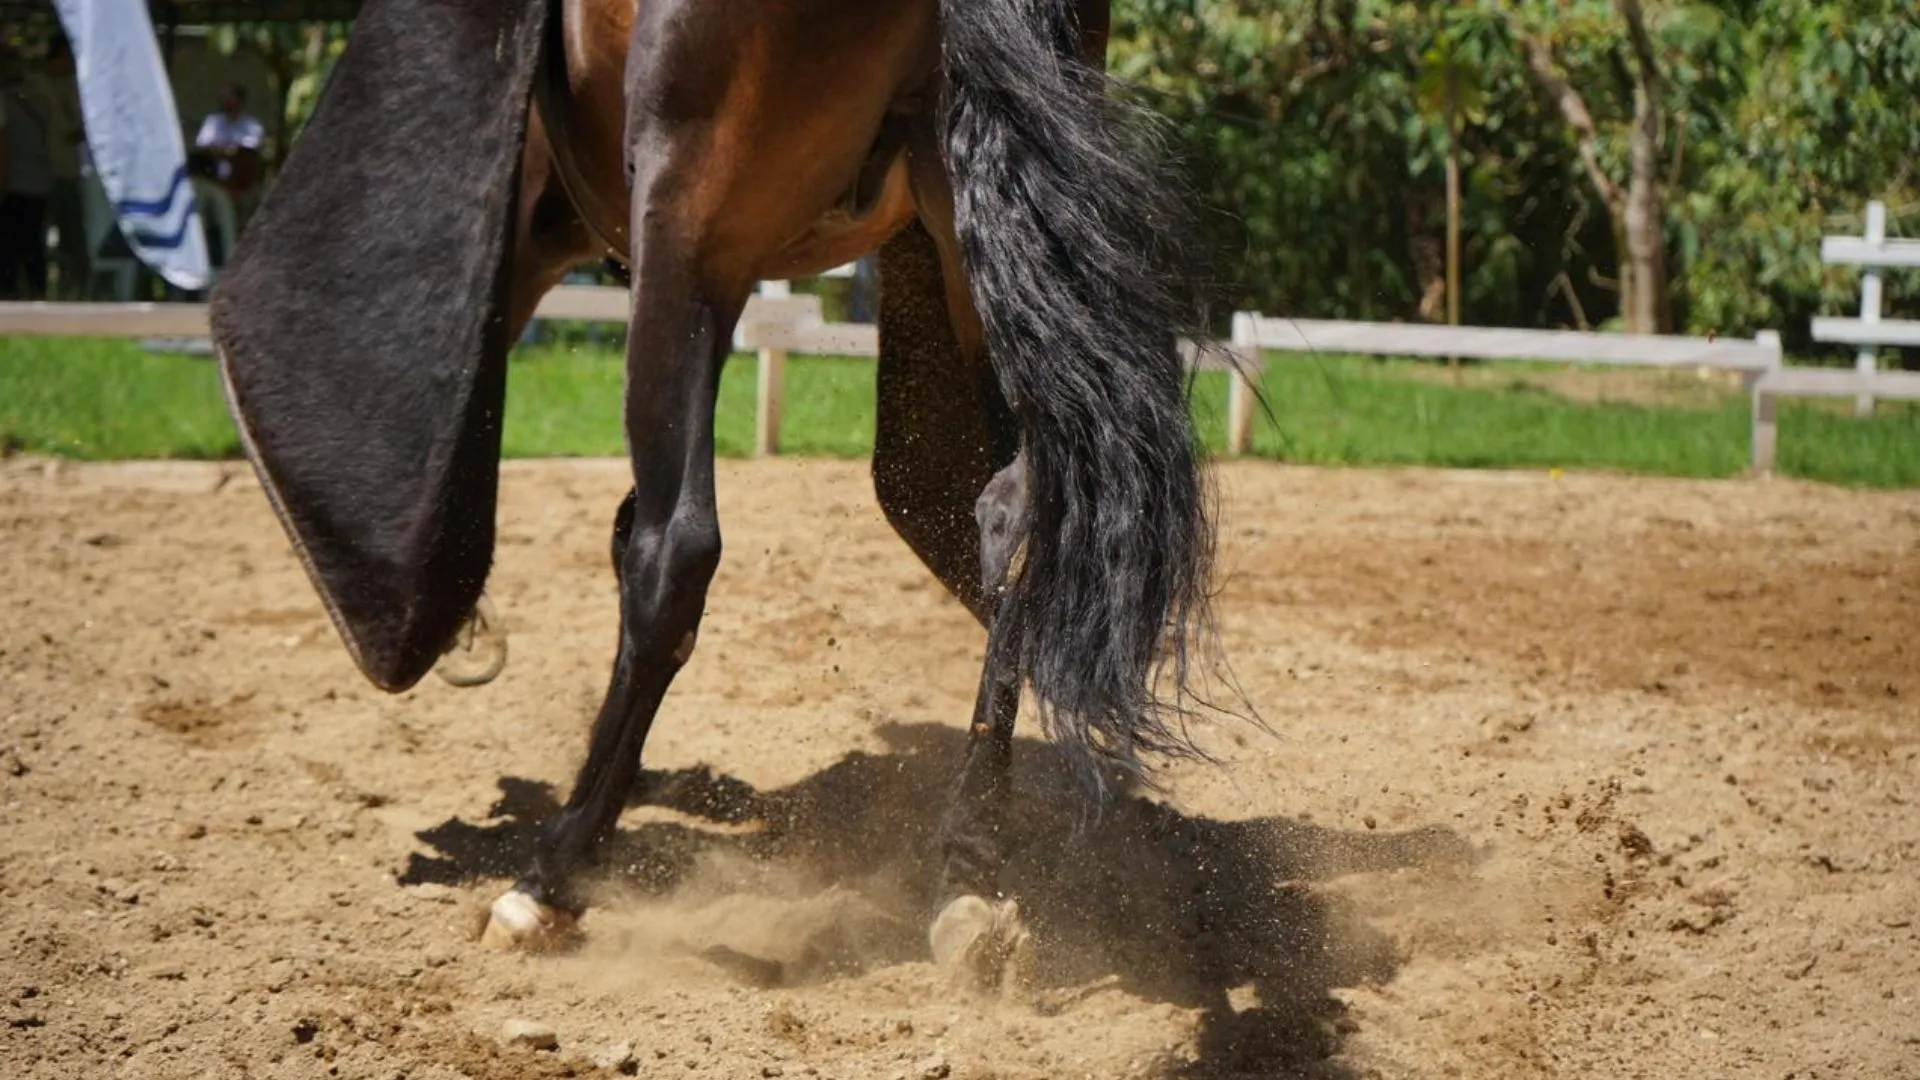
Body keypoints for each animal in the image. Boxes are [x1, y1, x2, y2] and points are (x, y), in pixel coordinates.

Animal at [209, 0, 1226, 979]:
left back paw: (548, 881)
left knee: (677, 552)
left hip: (693, 236)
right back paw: (969, 879)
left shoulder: (548, 215)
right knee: (1019, 520)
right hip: (964, 244)